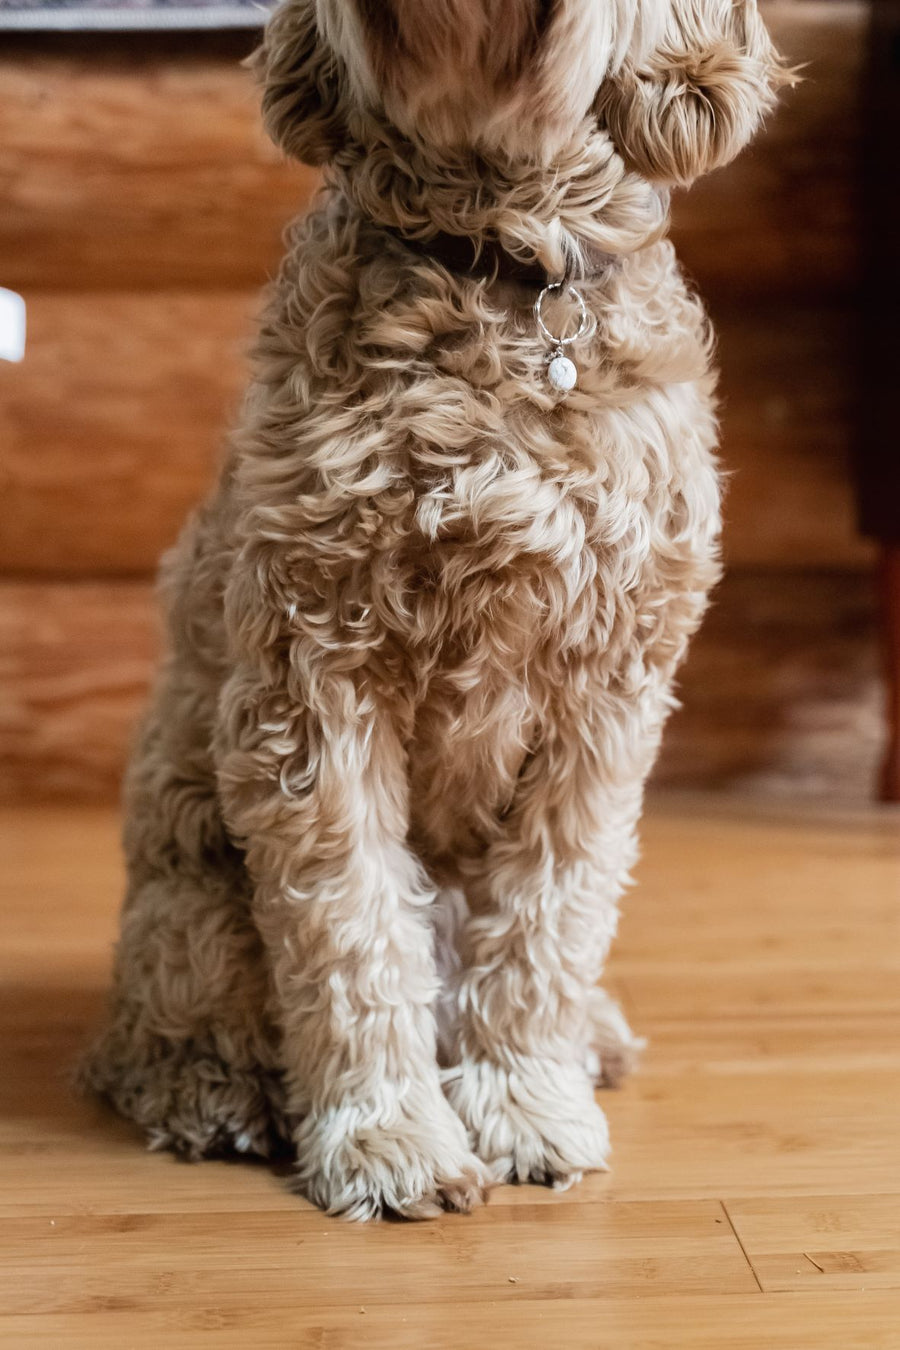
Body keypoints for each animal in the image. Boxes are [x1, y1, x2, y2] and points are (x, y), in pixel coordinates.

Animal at [84, 0, 788, 1220]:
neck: (501, 263)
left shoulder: (604, 694)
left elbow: (551, 917)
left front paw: (527, 1111)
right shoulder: (313, 678)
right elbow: (351, 930)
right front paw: (386, 1141)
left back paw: (588, 1041)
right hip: (191, 902)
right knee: (175, 1026)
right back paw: (213, 1094)